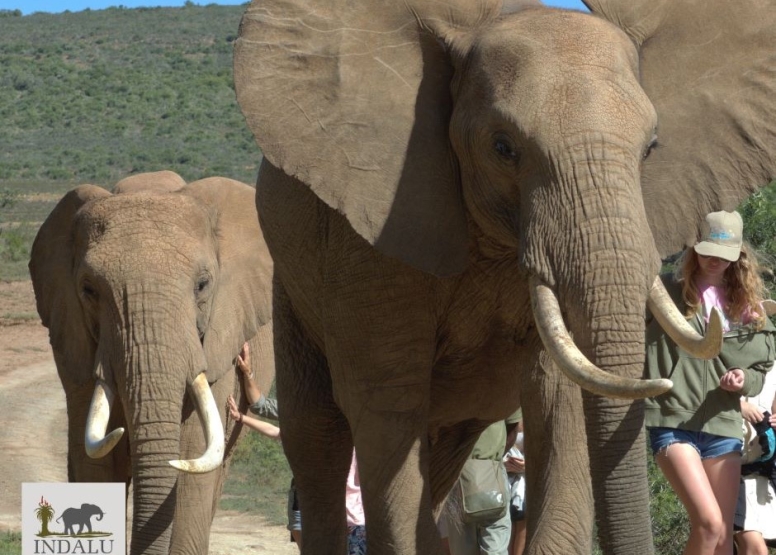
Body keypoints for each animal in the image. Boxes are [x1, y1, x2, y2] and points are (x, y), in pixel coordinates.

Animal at [232, 0, 776, 552]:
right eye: (503, 147)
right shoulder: (367, 235)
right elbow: (386, 405)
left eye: (651, 148)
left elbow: (559, 397)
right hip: (292, 287)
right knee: (319, 436)